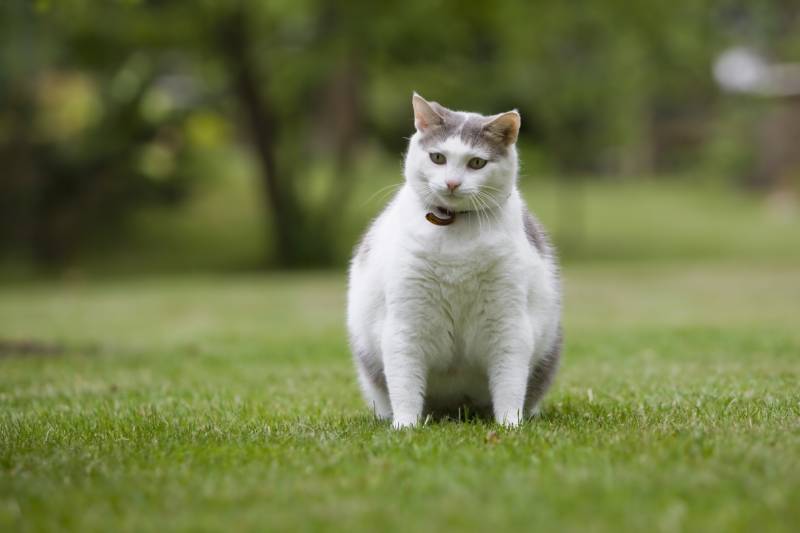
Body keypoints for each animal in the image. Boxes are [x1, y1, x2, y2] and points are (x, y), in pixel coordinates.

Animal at [346, 92, 564, 428]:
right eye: (437, 157)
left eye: (476, 162)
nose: (451, 183)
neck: (454, 230)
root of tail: (457, 409)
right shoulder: (406, 323)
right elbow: (405, 385)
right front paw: (405, 427)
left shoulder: (508, 322)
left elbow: (510, 383)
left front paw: (510, 426)